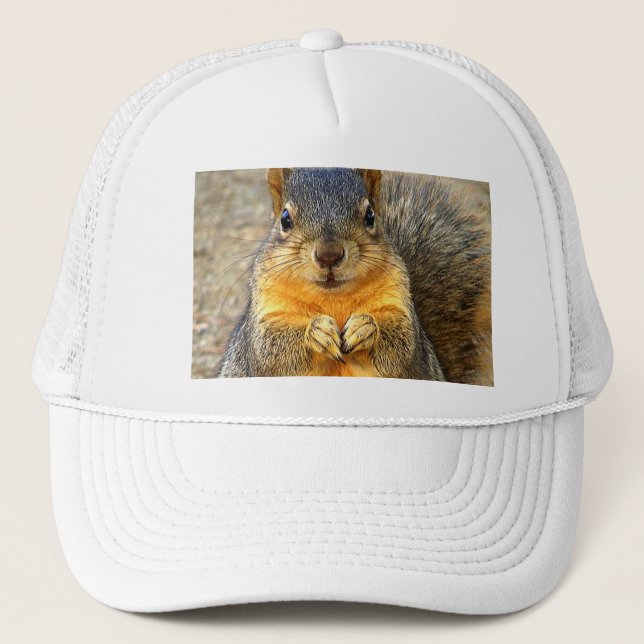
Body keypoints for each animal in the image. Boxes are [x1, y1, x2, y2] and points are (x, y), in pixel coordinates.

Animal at [217, 167, 492, 384]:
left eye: (370, 216)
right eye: (285, 219)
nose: (329, 255)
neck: (332, 297)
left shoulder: (400, 305)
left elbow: (403, 345)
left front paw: (366, 328)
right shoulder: (265, 315)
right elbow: (269, 347)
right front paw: (316, 332)